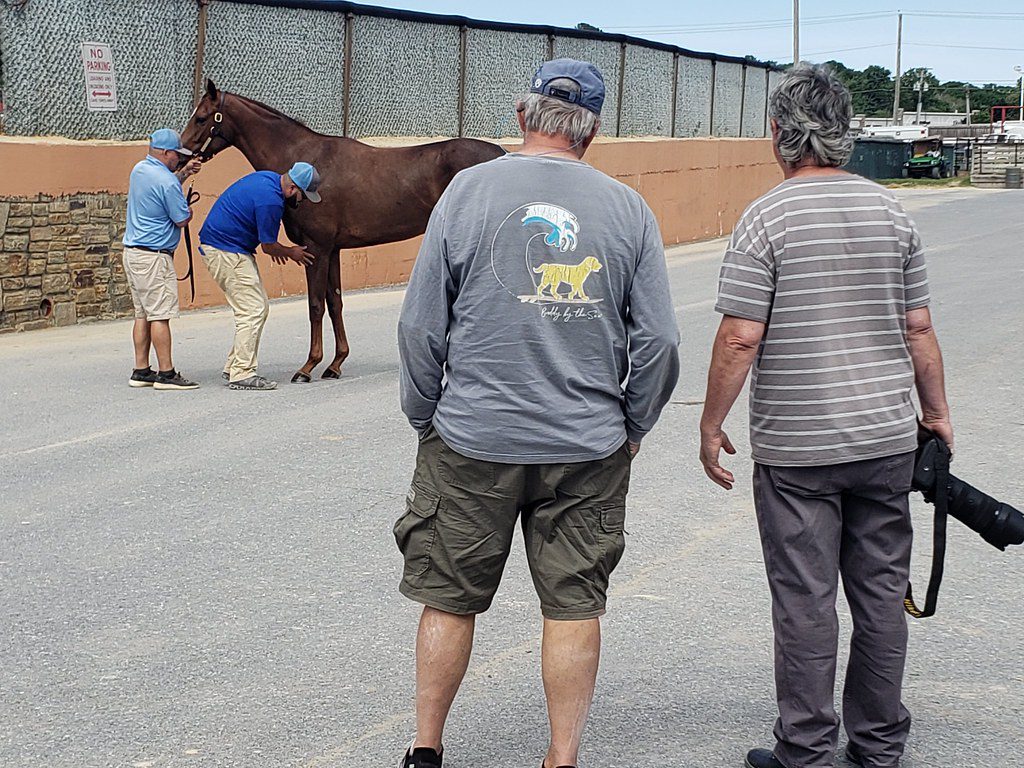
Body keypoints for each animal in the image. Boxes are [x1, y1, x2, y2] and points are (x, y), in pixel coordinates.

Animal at [183, 79, 507, 382]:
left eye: (201, 118)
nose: (183, 155)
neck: (305, 162)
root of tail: (503, 153)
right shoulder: (333, 249)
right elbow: (335, 302)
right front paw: (335, 364)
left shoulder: (316, 248)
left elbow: (315, 305)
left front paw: (308, 366)